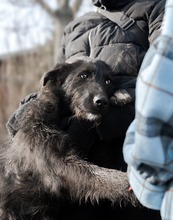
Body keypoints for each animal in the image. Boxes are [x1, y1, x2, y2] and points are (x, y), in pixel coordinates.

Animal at [0, 59, 160, 219]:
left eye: (108, 81)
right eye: (83, 76)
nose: (101, 102)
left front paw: (119, 95)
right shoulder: (58, 163)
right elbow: (100, 176)